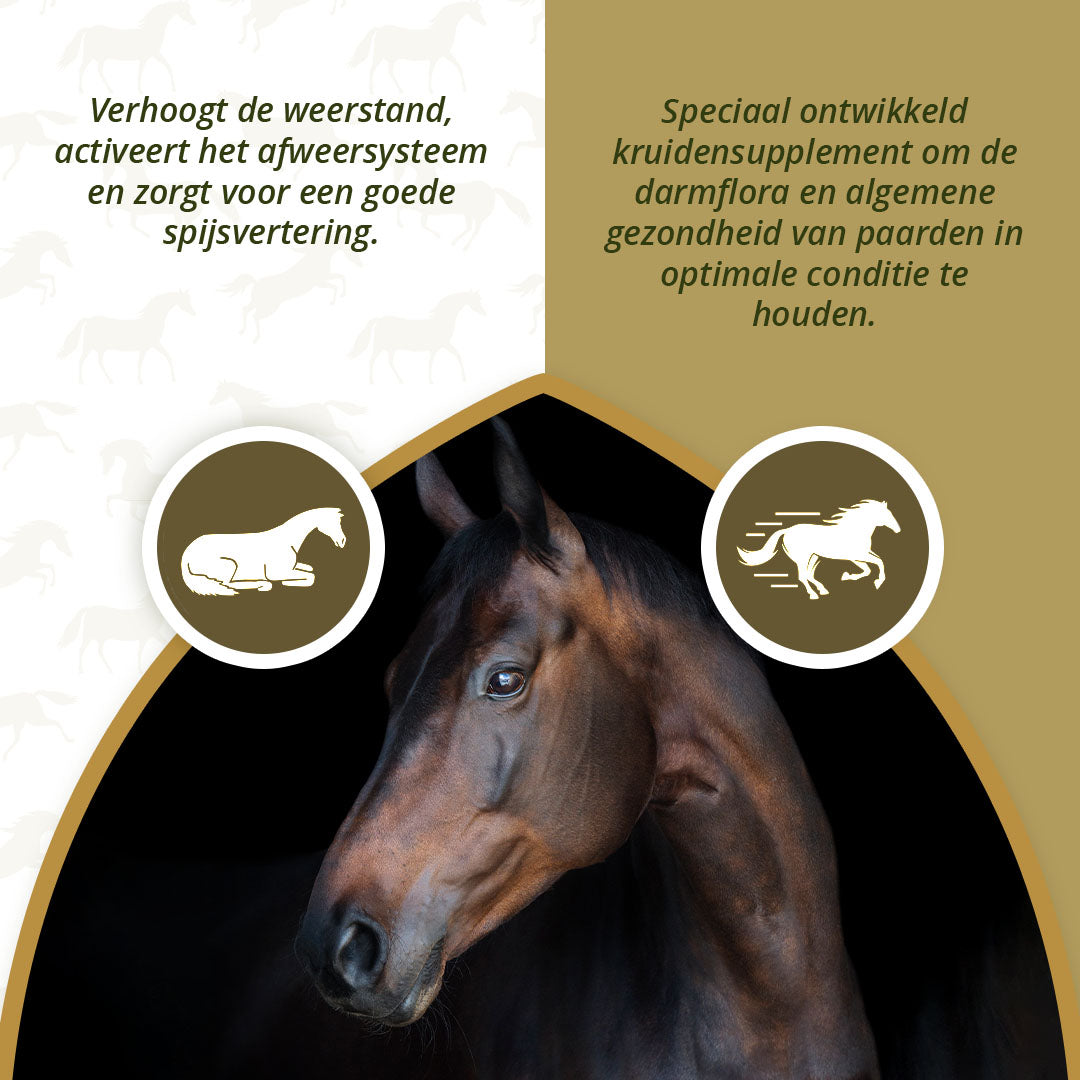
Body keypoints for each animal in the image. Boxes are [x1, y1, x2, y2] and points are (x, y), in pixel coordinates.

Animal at [181, 507, 346, 596]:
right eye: (334, 522)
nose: (343, 541)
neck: (287, 540)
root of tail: (186, 555)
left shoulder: (291, 567)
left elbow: (309, 570)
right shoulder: (277, 573)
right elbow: (311, 576)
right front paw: (288, 583)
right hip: (229, 565)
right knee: (228, 584)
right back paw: (262, 584)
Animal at [738, 499, 901, 599]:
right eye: (887, 514)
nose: (898, 530)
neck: (855, 531)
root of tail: (787, 530)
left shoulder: (856, 557)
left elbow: (870, 567)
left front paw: (847, 576)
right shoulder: (857, 555)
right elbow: (879, 563)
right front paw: (878, 582)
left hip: (813, 556)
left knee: (809, 575)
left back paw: (823, 590)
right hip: (802, 558)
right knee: (803, 576)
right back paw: (814, 594)